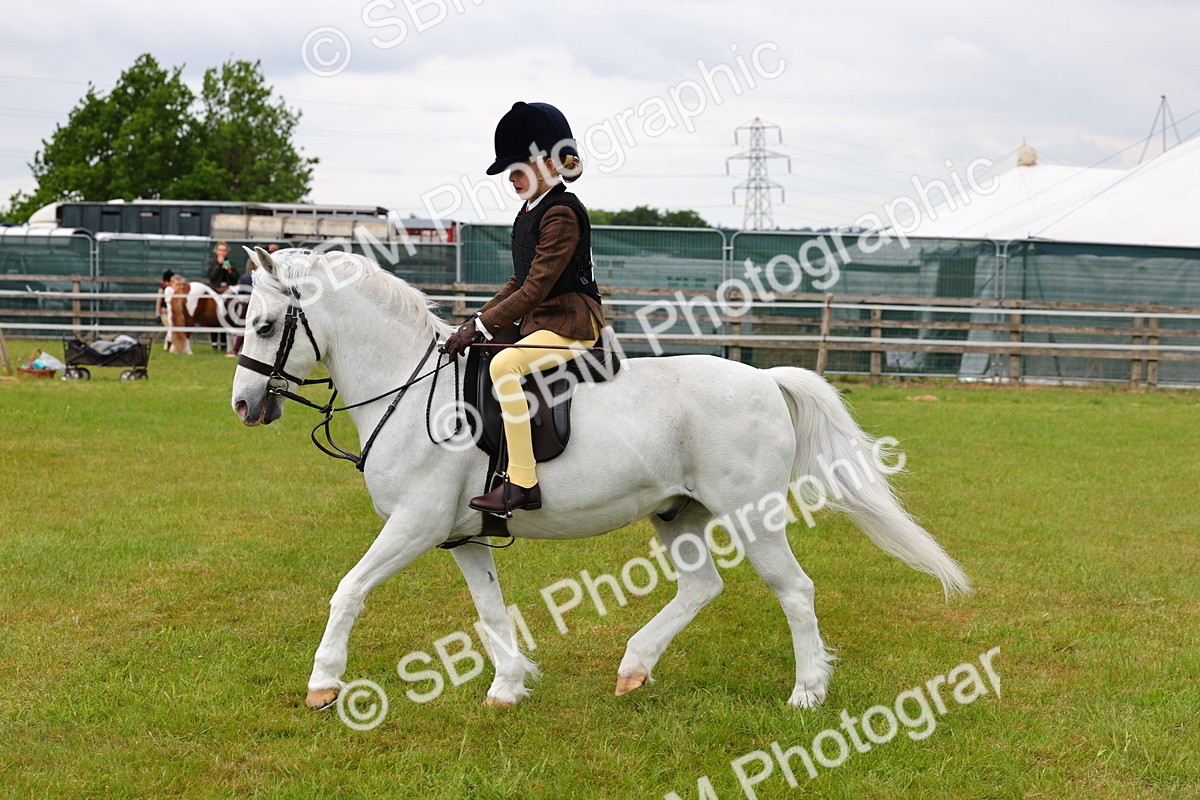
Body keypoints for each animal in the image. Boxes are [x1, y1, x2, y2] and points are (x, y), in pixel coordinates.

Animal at [230, 247, 971, 712]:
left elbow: (348, 591)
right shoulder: (461, 535)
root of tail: (765, 378)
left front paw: (324, 684)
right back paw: (634, 667)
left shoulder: (415, 525)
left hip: (752, 516)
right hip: (678, 514)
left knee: (794, 592)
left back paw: (807, 692)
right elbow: (490, 611)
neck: (413, 393)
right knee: (701, 587)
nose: (242, 405)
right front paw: (507, 688)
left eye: (265, 324)